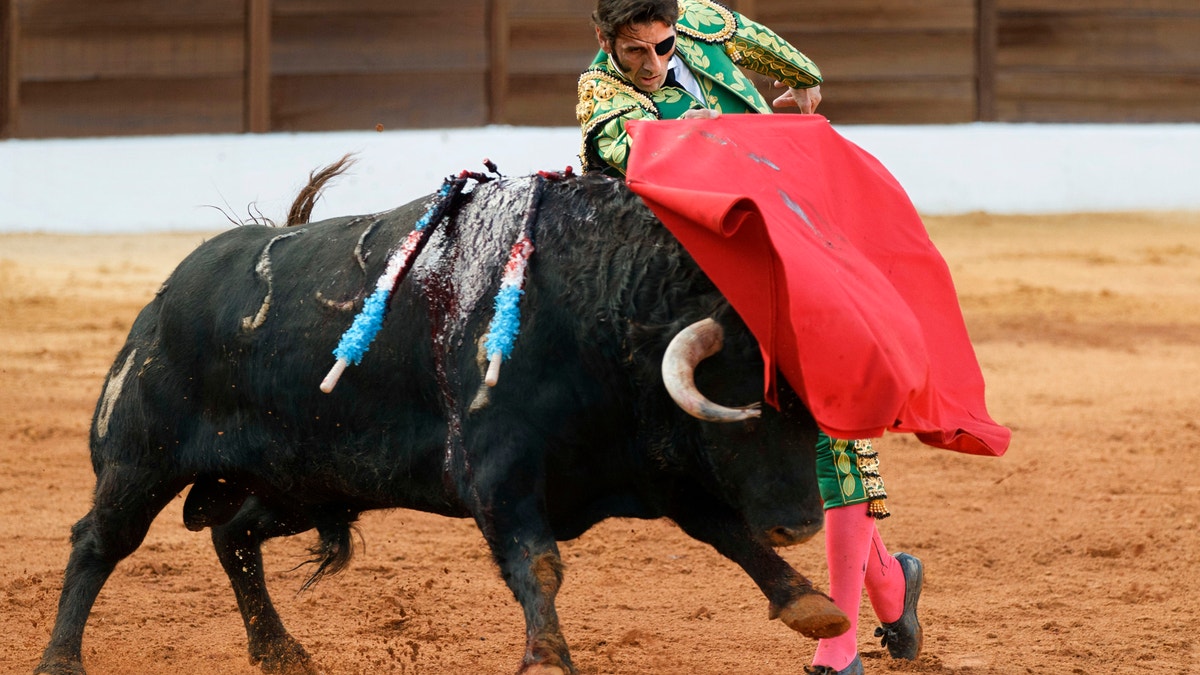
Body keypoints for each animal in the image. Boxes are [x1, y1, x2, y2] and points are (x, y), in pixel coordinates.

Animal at [32, 170, 849, 667]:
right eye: (743, 412)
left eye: (812, 417)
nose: (801, 523)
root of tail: (165, 295)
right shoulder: (498, 470)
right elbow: (539, 561)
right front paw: (546, 658)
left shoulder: (656, 464)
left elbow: (727, 531)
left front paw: (811, 604)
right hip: (141, 460)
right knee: (98, 542)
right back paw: (61, 657)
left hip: (302, 483)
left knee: (233, 535)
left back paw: (281, 651)